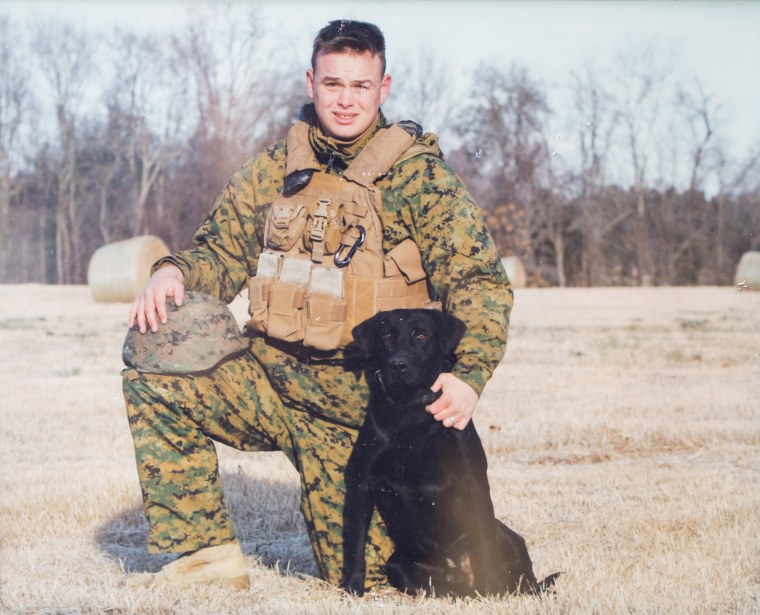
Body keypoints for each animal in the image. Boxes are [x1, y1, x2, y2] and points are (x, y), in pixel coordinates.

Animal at [342, 310, 556, 600]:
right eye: (385, 335)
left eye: (421, 335)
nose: (398, 365)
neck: (410, 412)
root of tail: (459, 571)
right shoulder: (360, 482)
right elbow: (354, 545)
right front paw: (351, 588)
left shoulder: (473, 481)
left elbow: (486, 548)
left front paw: (493, 591)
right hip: (398, 564)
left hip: (509, 538)